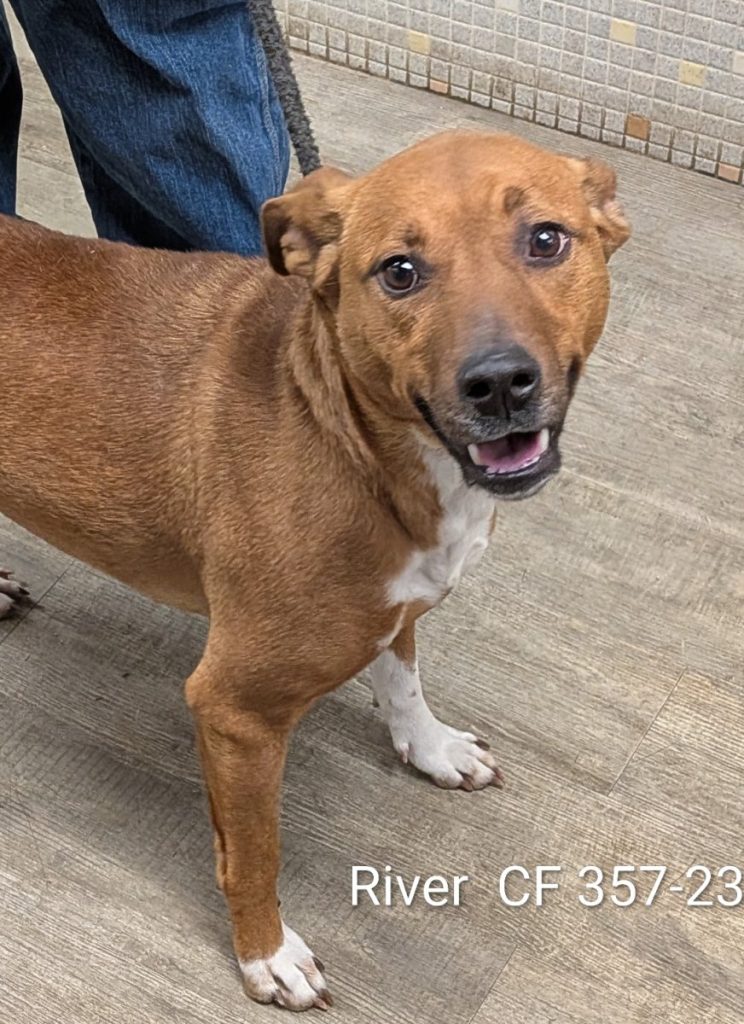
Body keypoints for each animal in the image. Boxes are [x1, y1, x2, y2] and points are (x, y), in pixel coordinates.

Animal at [0, 131, 629, 1010]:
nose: (500, 383)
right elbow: (254, 853)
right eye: (399, 270)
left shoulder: (396, 606)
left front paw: (430, 748)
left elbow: (402, 679)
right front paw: (266, 955)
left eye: (546, 239)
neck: (353, 438)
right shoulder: (236, 711)